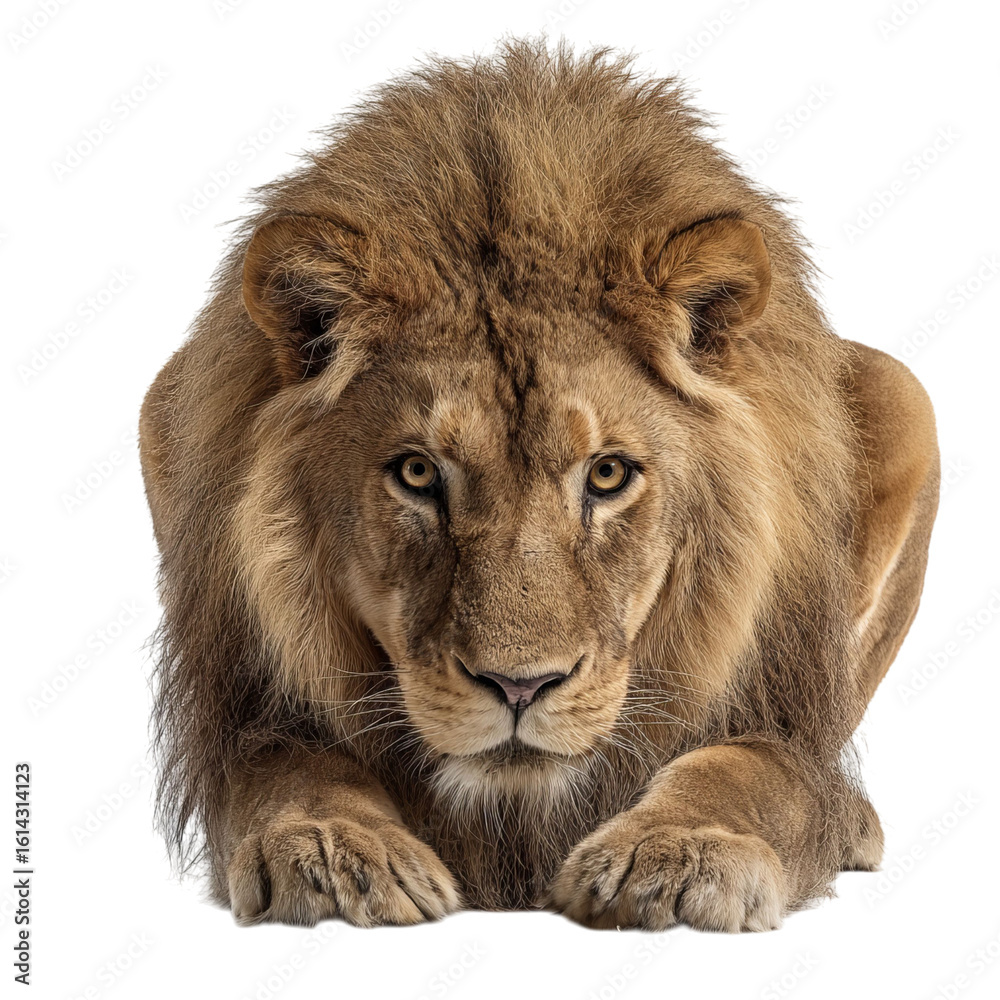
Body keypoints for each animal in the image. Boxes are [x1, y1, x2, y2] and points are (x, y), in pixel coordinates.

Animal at [139, 39, 939, 932]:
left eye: (608, 474)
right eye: (418, 472)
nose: (519, 686)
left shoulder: (780, 708)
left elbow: (748, 770)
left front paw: (678, 853)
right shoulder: (246, 709)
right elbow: (288, 764)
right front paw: (334, 851)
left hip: (905, 393)